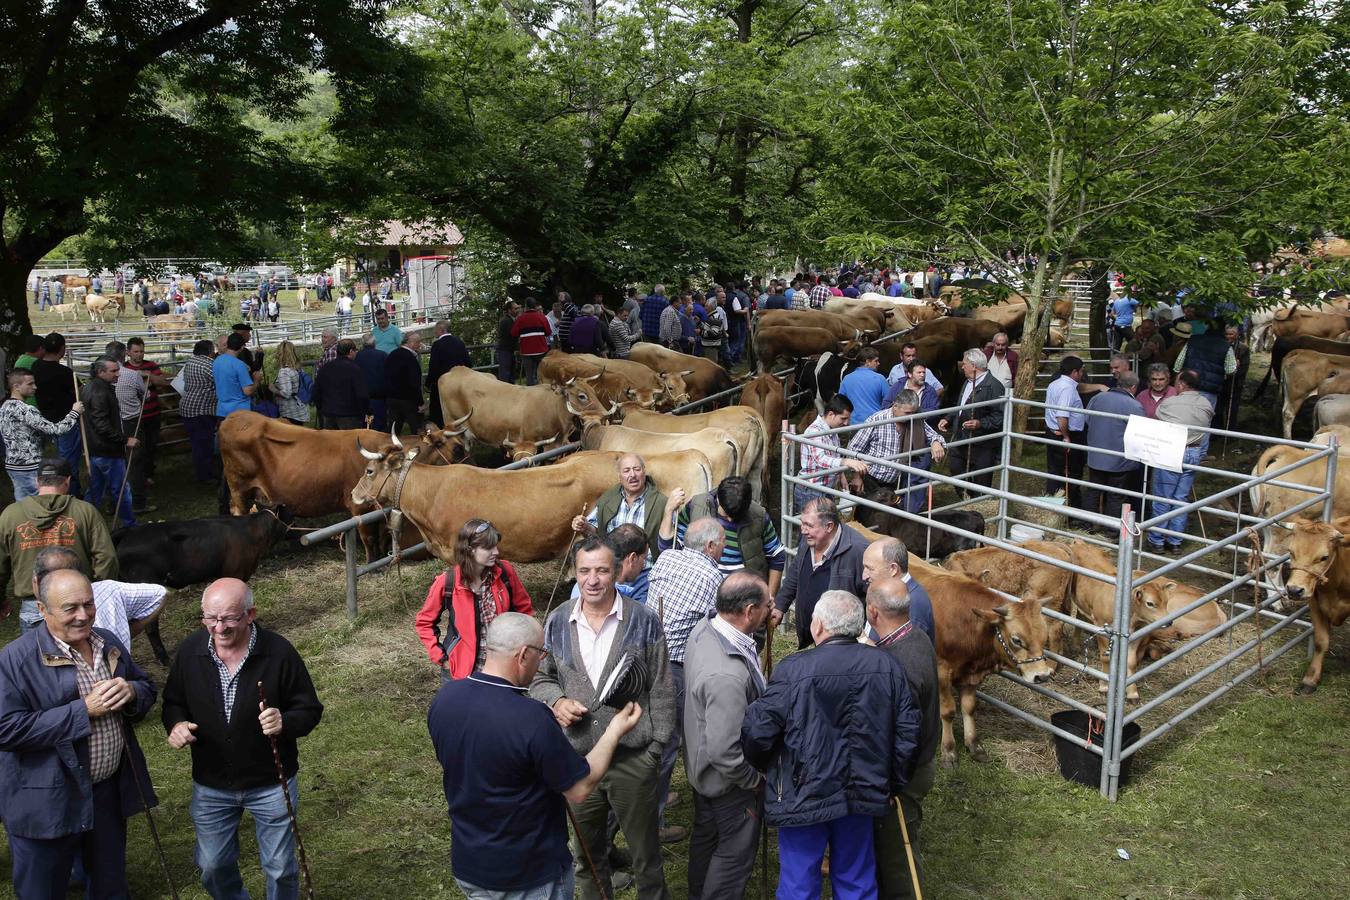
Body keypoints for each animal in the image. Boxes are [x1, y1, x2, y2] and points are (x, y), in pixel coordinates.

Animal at [116, 507, 295, 661]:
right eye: (291, 516)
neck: (251, 532)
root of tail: (128, 532)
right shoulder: (234, 574)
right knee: (150, 626)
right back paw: (164, 658)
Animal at [1274, 518, 1350, 696]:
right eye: (1291, 551)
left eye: (1324, 557)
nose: (1294, 590)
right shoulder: (1315, 603)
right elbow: (1321, 641)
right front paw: (1310, 679)